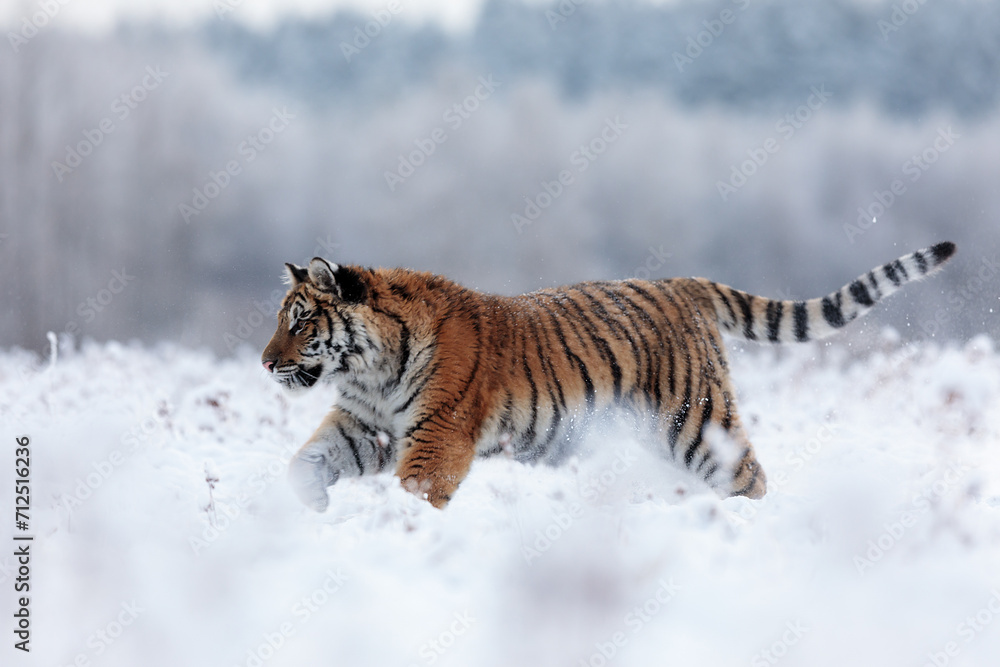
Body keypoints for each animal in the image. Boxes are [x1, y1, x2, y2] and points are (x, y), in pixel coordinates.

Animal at [261, 241, 956, 511]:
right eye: (282, 320)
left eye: (300, 322)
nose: (266, 363)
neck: (369, 369)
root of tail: (683, 282)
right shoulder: (365, 425)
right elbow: (304, 462)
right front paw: (311, 507)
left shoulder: (438, 435)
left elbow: (415, 490)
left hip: (695, 421)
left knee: (751, 478)